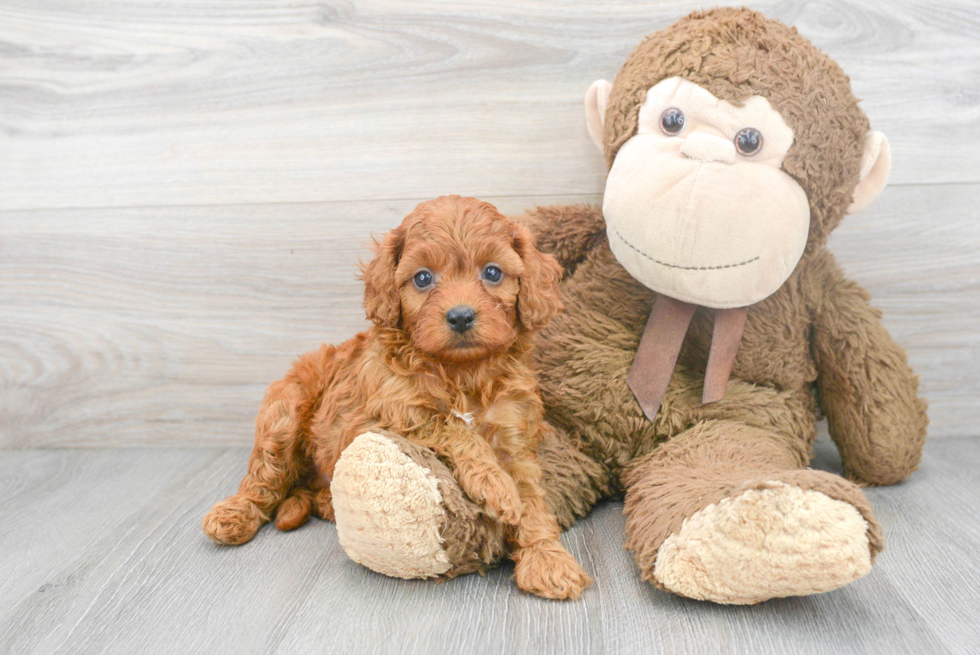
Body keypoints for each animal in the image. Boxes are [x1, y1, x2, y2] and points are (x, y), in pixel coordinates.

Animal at [201, 193, 588, 600]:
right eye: (423, 278)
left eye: (493, 273)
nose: (460, 317)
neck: (460, 371)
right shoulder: (376, 417)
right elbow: (446, 423)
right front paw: (495, 486)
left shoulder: (513, 431)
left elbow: (531, 499)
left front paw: (547, 559)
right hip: (285, 410)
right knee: (264, 479)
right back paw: (233, 515)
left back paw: (327, 502)